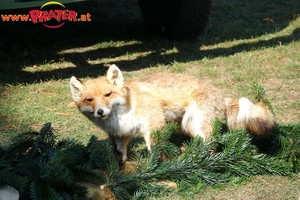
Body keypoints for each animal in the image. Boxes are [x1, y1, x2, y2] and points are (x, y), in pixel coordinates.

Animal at [69, 65, 274, 168]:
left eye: (107, 95)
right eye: (89, 100)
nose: (100, 112)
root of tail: (221, 95)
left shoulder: (153, 124)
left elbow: (155, 150)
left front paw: (157, 167)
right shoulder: (122, 134)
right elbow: (120, 153)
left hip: (193, 124)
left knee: (211, 146)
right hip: (189, 125)